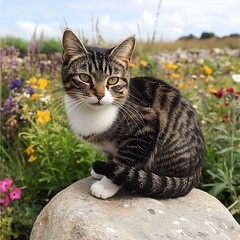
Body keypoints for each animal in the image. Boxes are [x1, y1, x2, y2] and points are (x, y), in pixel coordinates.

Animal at [61, 29, 204, 200]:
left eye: (113, 80)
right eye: (84, 77)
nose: (100, 94)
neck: (92, 113)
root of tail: (196, 171)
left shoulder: (145, 126)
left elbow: (124, 161)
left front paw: (106, 184)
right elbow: (112, 159)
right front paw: (104, 170)